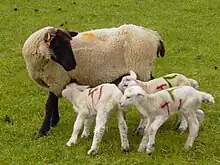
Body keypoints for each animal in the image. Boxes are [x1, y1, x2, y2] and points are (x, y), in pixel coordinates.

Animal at [21, 23, 165, 137]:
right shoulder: (56, 81)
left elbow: (49, 105)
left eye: (68, 43)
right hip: (145, 70)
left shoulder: (57, 78)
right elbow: (54, 101)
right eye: (59, 44)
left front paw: (42, 131)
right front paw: (54, 122)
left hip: (142, 68)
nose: (72, 65)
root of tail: (155, 35)